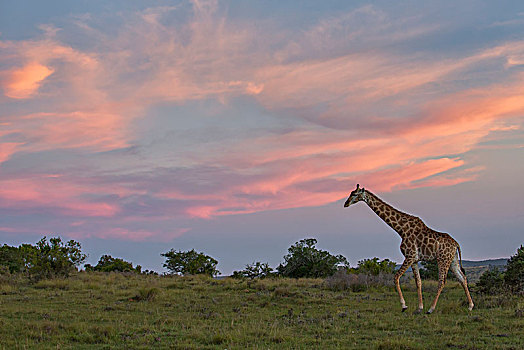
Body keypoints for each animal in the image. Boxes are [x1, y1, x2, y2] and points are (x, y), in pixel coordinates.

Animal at [344, 185, 474, 314]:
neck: (400, 229)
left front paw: (404, 306)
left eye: (354, 194)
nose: (345, 204)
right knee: (462, 278)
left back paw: (431, 309)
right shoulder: (414, 259)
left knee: (442, 282)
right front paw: (419, 308)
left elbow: (396, 277)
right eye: (350, 193)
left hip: (443, 260)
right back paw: (470, 306)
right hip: (452, 261)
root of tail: (456, 244)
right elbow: (418, 282)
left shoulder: (409, 255)